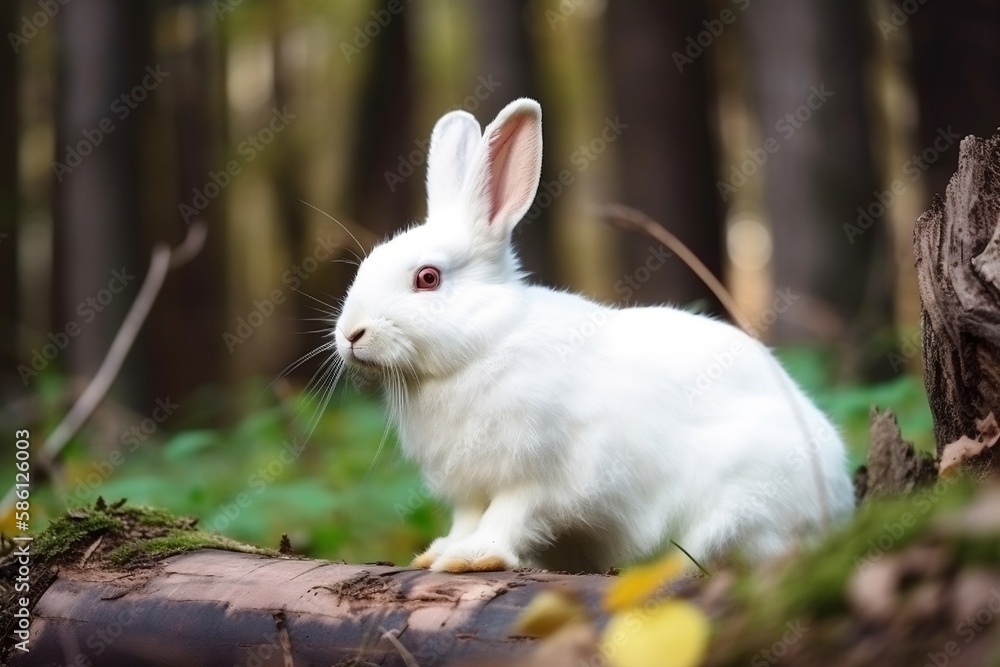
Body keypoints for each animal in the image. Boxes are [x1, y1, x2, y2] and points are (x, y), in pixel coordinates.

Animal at [334, 98, 855, 574]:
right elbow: (467, 519)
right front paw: (437, 554)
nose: (351, 334)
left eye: (428, 278)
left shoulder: (541, 478)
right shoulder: (470, 490)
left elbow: (508, 517)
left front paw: (472, 559)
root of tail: (839, 499)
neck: (485, 344)